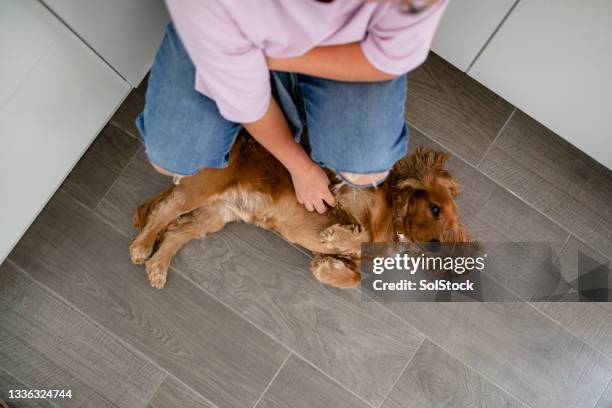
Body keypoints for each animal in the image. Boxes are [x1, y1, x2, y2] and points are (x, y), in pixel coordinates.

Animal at [131, 132, 470, 288]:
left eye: (447, 227)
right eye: (435, 209)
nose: (435, 245)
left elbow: (354, 275)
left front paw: (325, 267)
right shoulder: (340, 195)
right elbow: (359, 233)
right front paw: (336, 238)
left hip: (215, 214)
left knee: (176, 231)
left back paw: (158, 266)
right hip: (203, 188)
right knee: (164, 212)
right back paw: (142, 246)